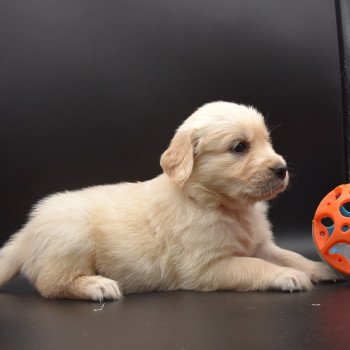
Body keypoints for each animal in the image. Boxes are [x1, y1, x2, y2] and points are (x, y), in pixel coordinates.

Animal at [0, 102, 340, 300]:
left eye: (267, 142)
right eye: (239, 147)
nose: (282, 169)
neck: (219, 205)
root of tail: (27, 231)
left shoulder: (260, 244)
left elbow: (287, 254)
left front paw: (319, 268)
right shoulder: (205, 265)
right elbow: (253, 265)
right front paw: (285, 276)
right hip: (72, 234)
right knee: (51, 284)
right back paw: (97, 285)